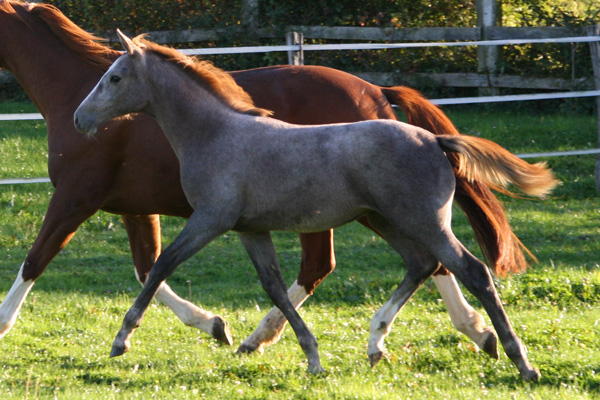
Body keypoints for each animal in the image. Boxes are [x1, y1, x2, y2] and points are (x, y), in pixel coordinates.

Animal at [0, 0, 524, 356]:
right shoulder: (134, 207)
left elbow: (37, 260)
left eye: (113, 78)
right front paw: (212, 324)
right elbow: (149, 267)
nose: (81, 120)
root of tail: (376, 91)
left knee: (377, 264)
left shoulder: (75, 197)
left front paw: (4, 324)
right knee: (418, 262)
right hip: (367, 212)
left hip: (365, 211)